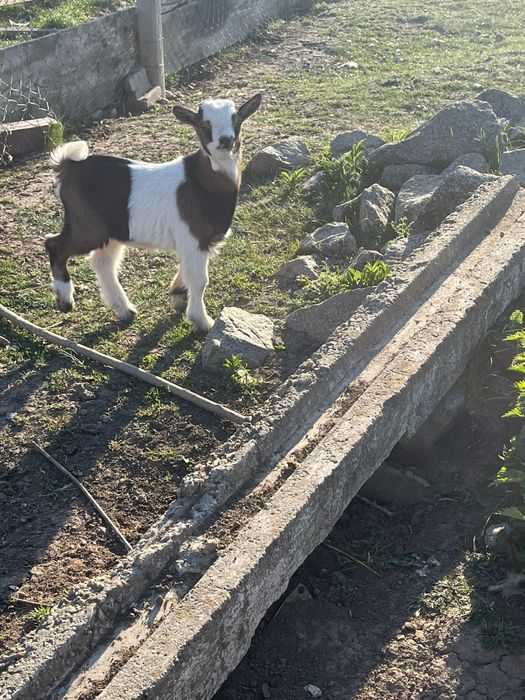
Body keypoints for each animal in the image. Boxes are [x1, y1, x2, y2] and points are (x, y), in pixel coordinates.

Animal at [45, 93, 262, 331]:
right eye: (205, 125)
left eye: (236, 120)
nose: (225, 140)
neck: (204, 180)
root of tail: (67, 167)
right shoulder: (195, 237)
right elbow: (199, 280)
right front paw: (203, 321)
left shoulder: (195, 243)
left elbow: (187, 271)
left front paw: (178, 296)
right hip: (87, 225)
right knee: (54, 244)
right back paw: (65, 300)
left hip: (110, 230)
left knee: (102, 262)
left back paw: (124, 311)